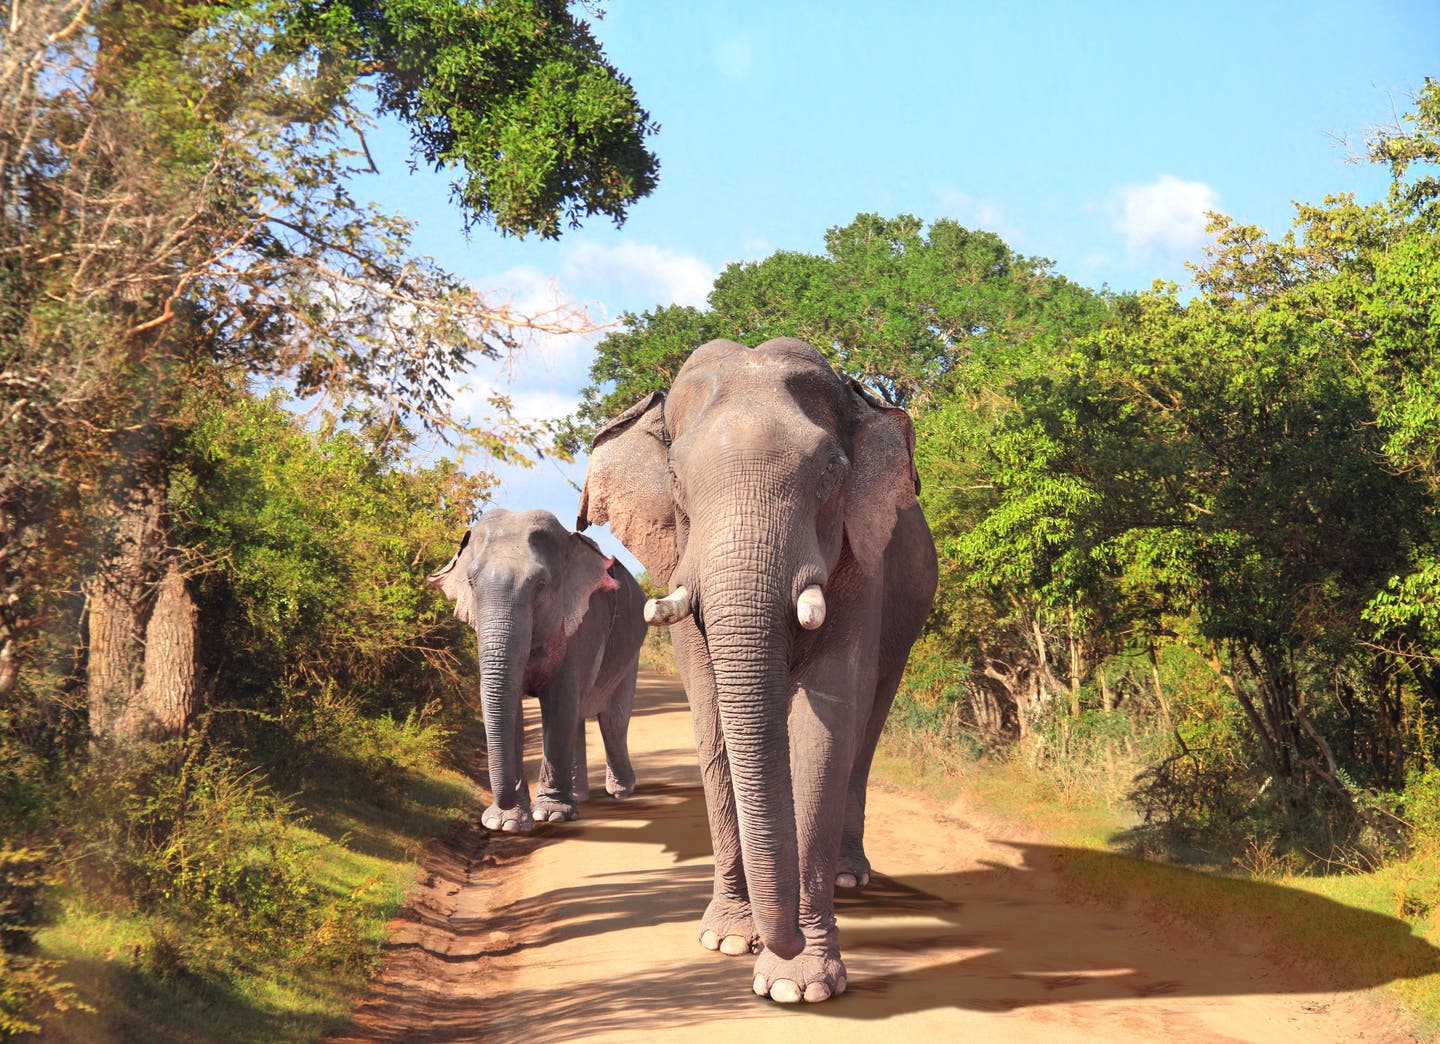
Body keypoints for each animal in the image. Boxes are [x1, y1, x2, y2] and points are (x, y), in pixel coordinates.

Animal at [423, 504, 645, 829]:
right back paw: (579, 797)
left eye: (540, 585)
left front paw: (552, 815)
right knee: (583, 717)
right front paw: (506, 823)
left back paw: (619, 792)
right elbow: (509, 705)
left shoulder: (583, 625)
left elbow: (560, 704)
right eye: (472, 584)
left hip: (630, 651)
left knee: (612, 721)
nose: (494, 810)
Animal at [578, 335, 938, 1002]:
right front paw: (726, 941)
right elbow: (714, 716)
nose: (783, 938)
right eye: (675, 480)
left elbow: (823, 725)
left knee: (866, 729)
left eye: (830, 475)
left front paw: (798, 985)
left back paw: (849, 878)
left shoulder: (861, 564)